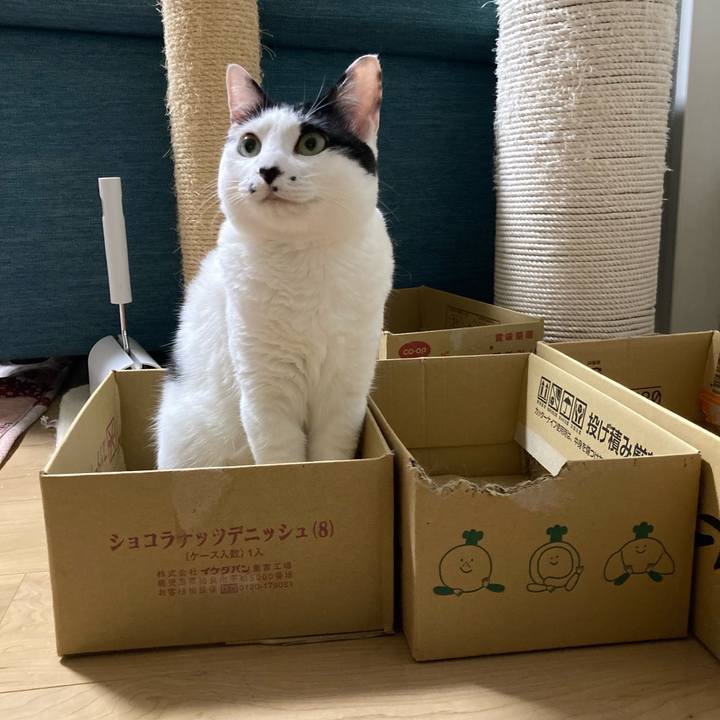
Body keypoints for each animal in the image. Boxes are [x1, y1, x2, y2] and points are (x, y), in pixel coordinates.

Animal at [155, 55, 394, 469]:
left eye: (311, 143)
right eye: (249, 145)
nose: (267, 169)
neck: (301, 256)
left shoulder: (345, 397)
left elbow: (332, 455)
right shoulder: (265, 396)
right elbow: (282, 460)